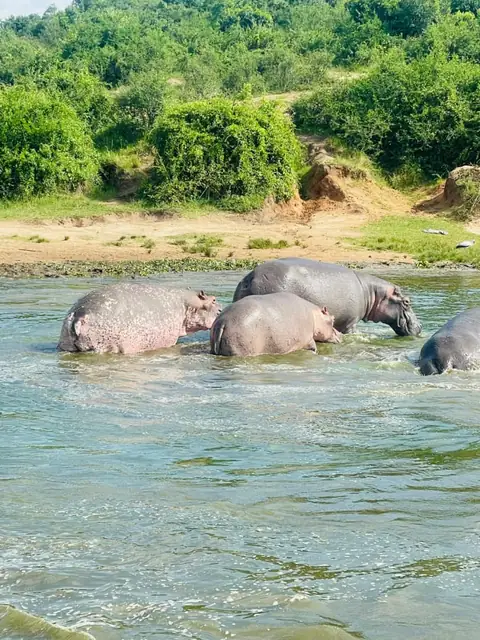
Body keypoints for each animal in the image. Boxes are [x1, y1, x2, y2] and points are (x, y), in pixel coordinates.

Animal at [58, 283, 221, 354]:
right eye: (214, 299)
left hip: (66, 344)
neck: (187, 303)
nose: (221, 309)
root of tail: (79, 316)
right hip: (106, 347)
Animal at [210, 292, 342, 357]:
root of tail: (222, 322)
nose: (340, 333)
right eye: (332, 319)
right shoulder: (308, 339)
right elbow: (313, 346)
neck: (315, 316)